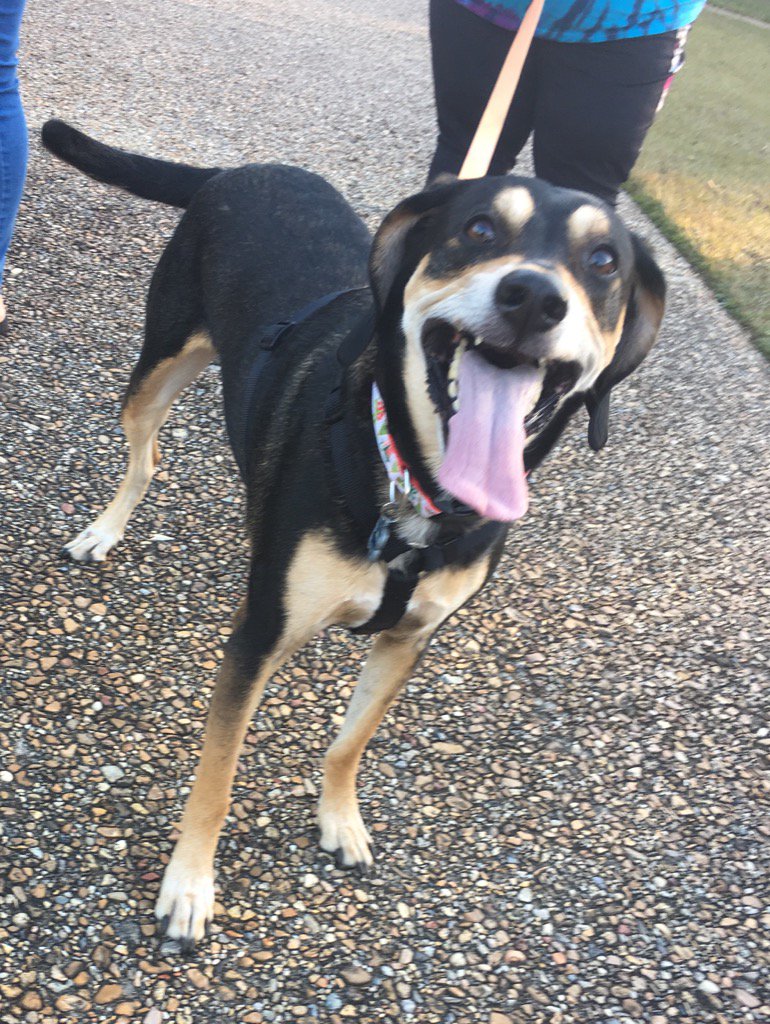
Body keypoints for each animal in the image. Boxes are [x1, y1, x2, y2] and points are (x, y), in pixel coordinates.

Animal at [42, 119, 665, 948]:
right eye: (478, 228)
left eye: (603, 262)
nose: (534, 296)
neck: (415, 490)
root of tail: (237, 168)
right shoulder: (257, 640)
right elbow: (218, 774)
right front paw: (190, 885)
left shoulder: (409, 638)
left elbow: (351, 741)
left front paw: (339, 819)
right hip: (158, 368)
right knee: (146, 455)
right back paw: (103, 531)